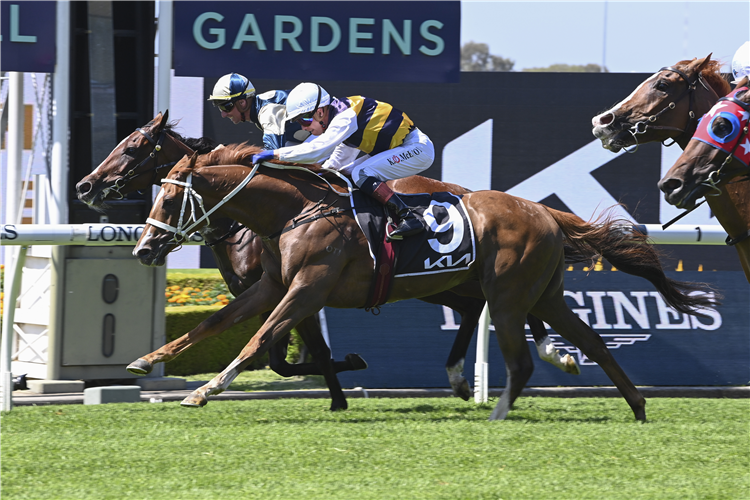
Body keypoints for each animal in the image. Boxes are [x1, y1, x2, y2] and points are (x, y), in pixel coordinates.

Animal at [76, 110, 580, 410]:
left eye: (133, 148)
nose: (85, 185)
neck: (285, 212)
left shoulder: (308, 287)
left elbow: (273, 345)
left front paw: (341, 382)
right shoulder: (271, 287)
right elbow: (215, 324)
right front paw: (147, 360)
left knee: (504, 306)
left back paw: (546, 353)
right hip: (441, 279)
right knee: (478, 308)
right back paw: (470, 374)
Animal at [132, 146, 720, 422]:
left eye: (170, 197)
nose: (141, 249)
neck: (294, 209)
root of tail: (543, 210)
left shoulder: (309, 288)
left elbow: (256, 340)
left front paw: (204, 391)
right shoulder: (273, 286)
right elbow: (212, 325)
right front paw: (146, 360)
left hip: (509, 294)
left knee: (522, 354)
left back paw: (503, 403)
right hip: (543, 293)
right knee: (591, 340)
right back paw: (634, 404)